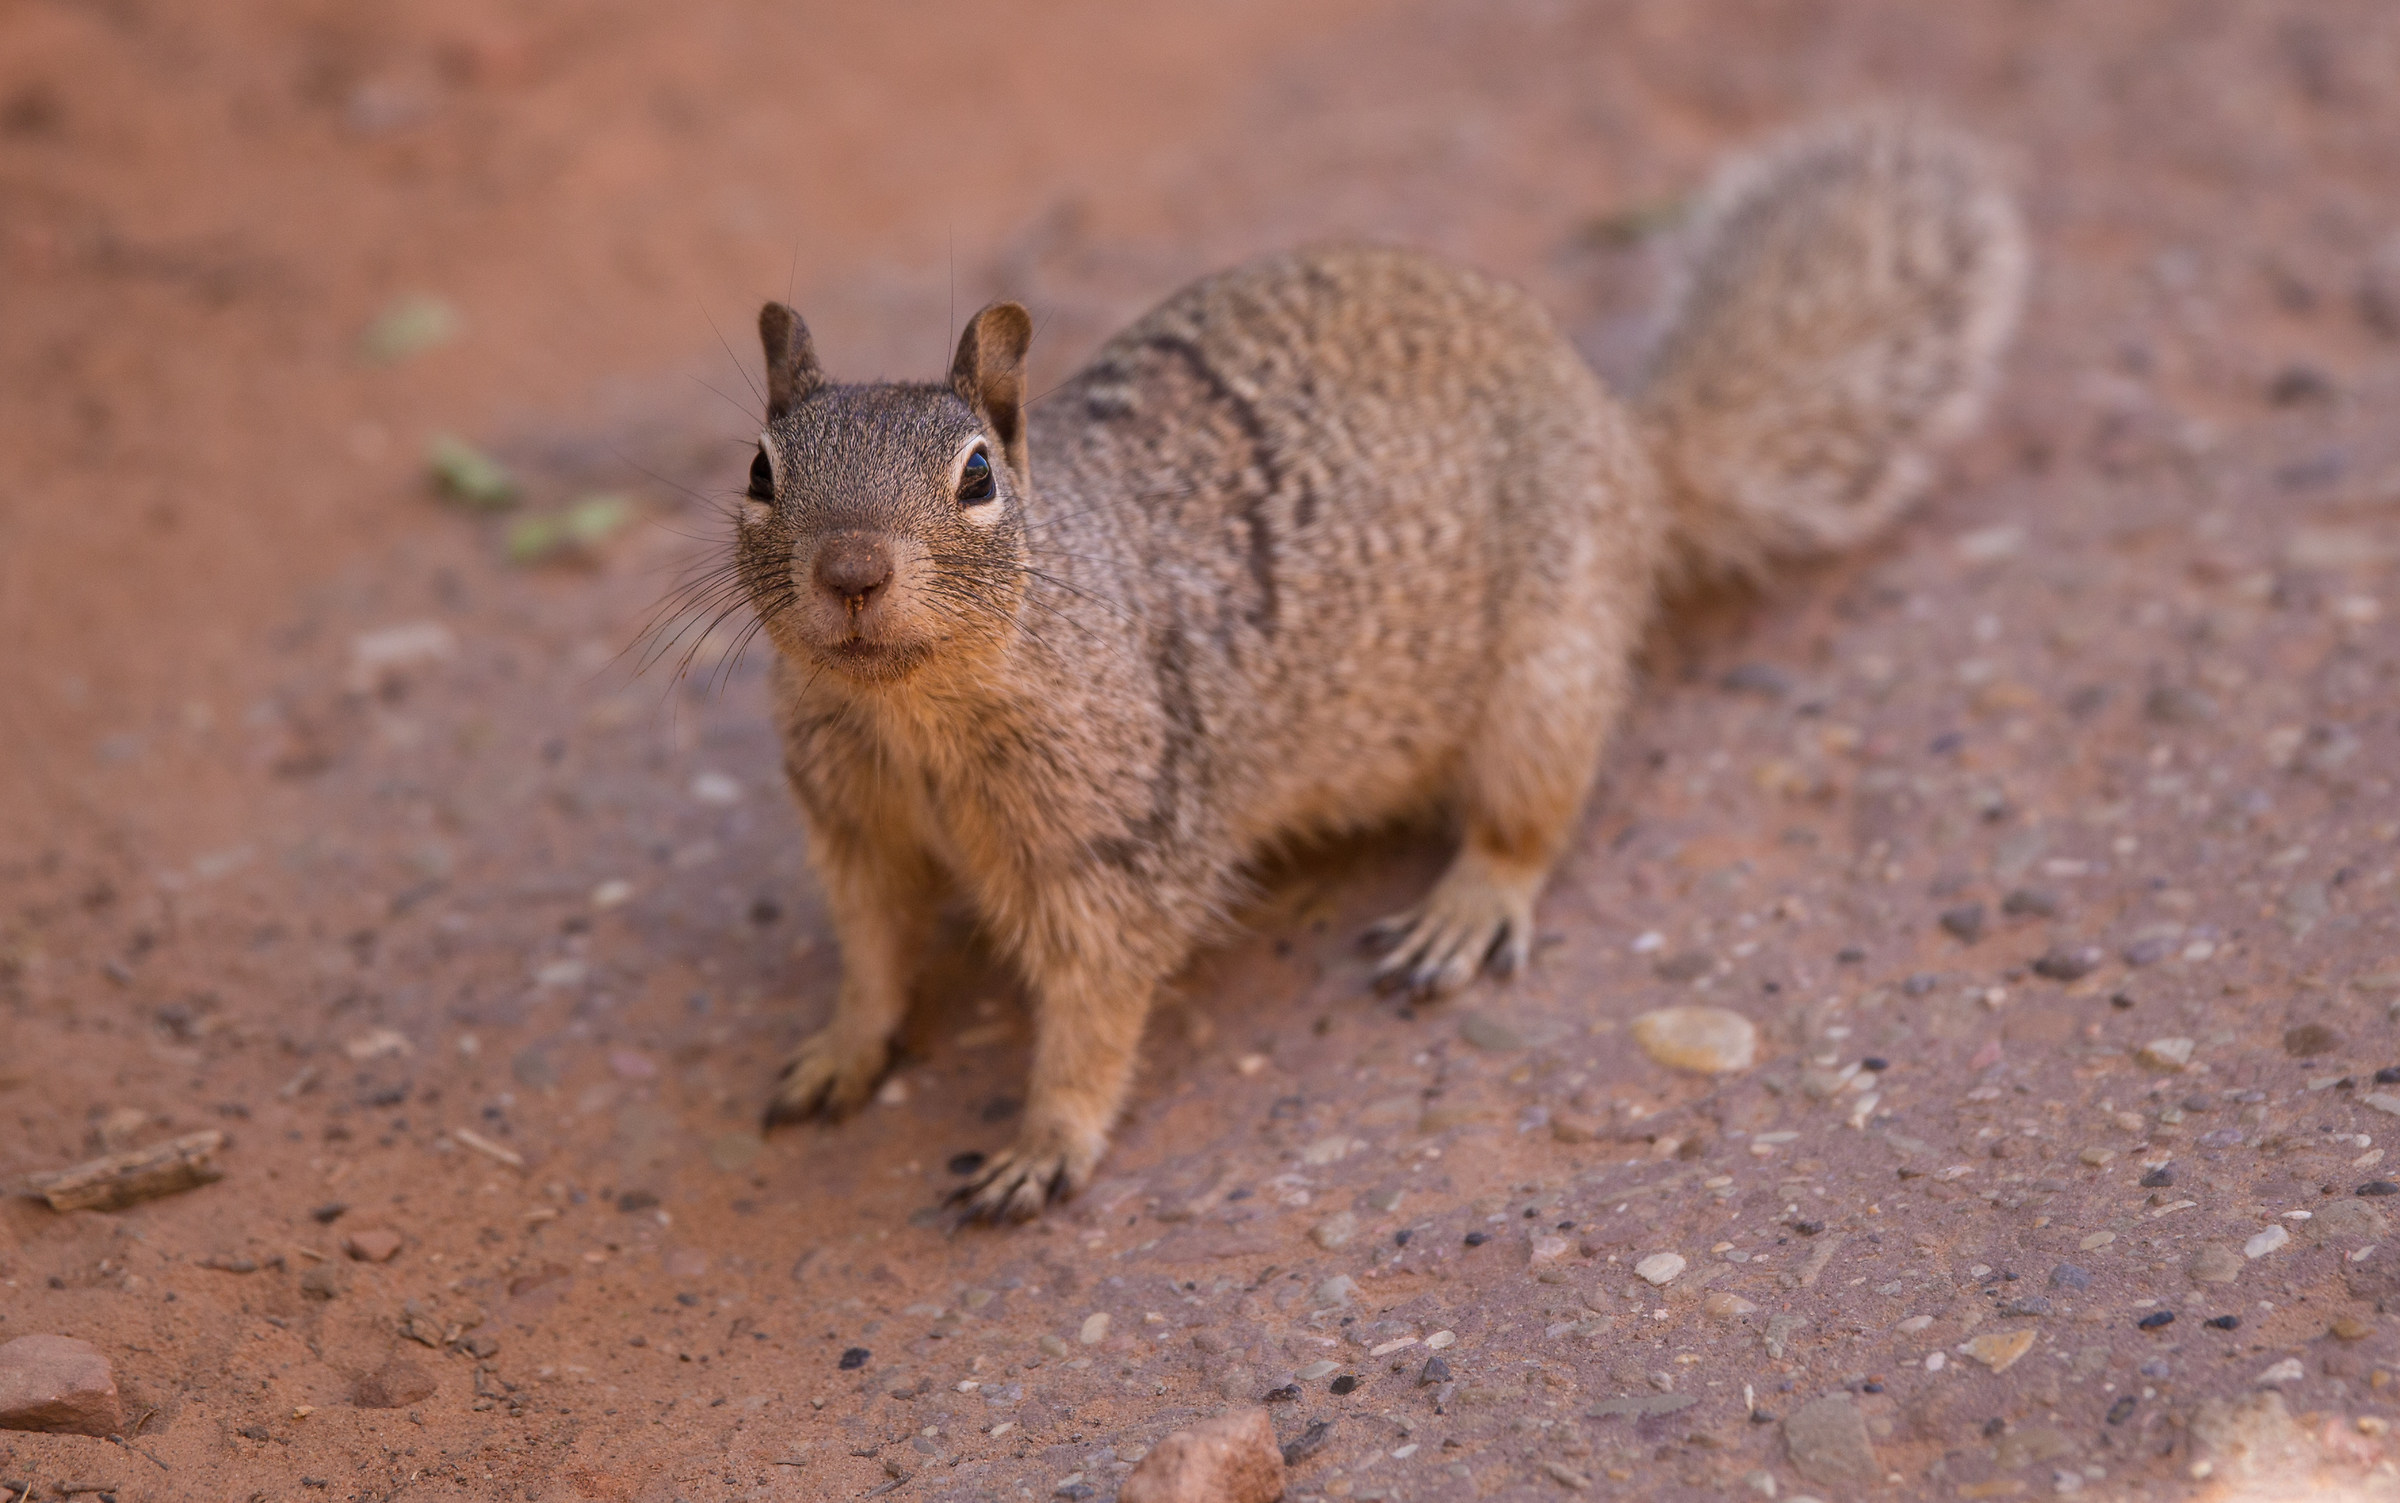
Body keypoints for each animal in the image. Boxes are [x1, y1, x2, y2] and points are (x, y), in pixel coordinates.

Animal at [734, 115, 2026, 1221]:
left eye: (978, 476)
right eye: (758, 468)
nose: (851, 570)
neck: (911, 716)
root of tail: (1631, 447)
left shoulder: (1122, 841)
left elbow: (1096, 1009)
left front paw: (1042, 1144)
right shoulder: (851, 823)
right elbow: (873, 952)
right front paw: (843, 1048)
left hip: (1548, 675)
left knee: (1530, 817)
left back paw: (1466, 907)